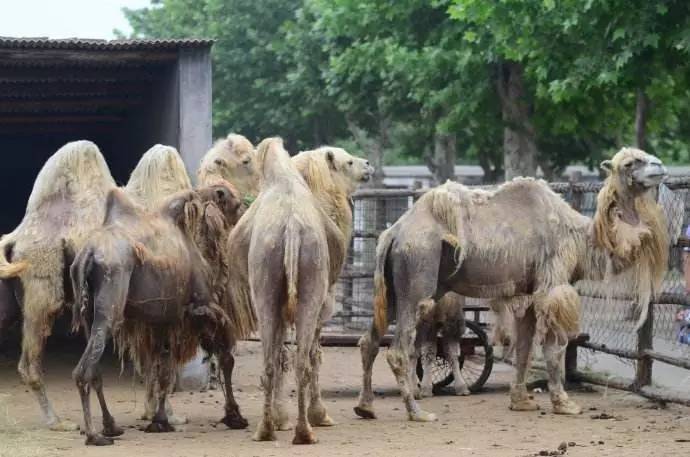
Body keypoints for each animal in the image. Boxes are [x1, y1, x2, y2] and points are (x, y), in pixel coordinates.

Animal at [69, 182, 247, 446]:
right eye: (234, 202)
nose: (243, 210)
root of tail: (88, 254)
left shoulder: (164, 319)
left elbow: (163, 368)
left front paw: (160, 421)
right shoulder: (201, 307)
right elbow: (226, 357)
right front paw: (235, 416)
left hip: (87, 315)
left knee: (95, 369)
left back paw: (111, 426)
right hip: (110, 302)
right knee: (84, 370)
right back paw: (94, 435)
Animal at [228, 138, 370, 442]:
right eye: (348, 161)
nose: (368, 165)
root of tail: (291, 228)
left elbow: (293, 354)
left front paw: (287, 417)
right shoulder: (325, 302)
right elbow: (311, 353)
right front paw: (307, 415)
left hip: (271, 284)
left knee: (280, 359)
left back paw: (276, 429)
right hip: (304, 283)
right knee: (297, 357)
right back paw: (298, 430)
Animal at [354, 148, 668, 422]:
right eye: (630, 163)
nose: (660, 166)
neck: (582, 239)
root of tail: (392, 234)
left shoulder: (528, 292)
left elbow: (525, 347)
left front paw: (522, 401)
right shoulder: (552, 283)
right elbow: (554, 347)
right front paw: (564, 403)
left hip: (392, 289)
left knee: (369, 341)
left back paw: (365, 407)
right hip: (417, 277)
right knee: (399, 349)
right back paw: (418, 412)